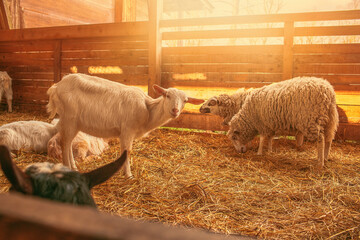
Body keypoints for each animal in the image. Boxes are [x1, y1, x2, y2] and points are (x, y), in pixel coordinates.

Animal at [47, 72, 205, 176]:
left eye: (185, 101)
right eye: (167, 95)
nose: (175, 110)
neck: (148, 110)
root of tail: (56, 87)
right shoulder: (127, 130)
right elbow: (127, 151)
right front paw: (128, 175)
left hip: (74, 122)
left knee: (68, 142)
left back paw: (73, 167)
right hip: (70, 118)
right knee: (65, 143)